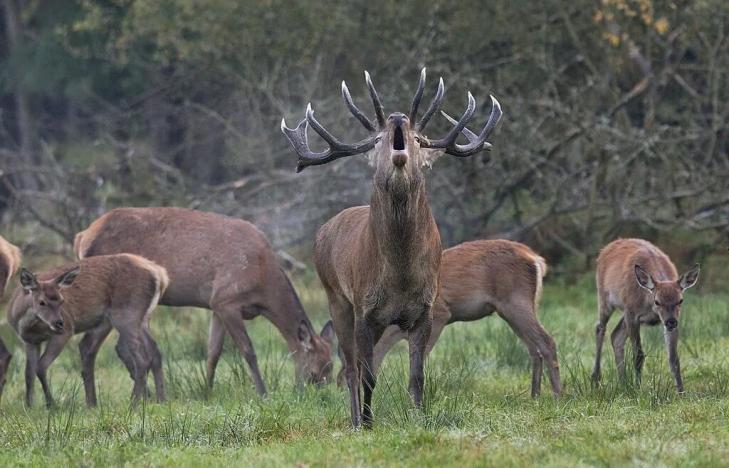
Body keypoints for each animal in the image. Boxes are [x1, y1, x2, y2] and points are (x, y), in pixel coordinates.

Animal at [6, 254, 168, 408]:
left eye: (62, 300)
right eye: (42, 302)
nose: (59, 323)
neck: (25, 323)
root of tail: (160, 275)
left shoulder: (65, 332)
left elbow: (40, 367)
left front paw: (51, 405)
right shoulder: (30, 341)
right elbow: (28, 373)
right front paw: (29, 406)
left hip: (126, 314)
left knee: (142, 358)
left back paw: (133, 404)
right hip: (142, 318)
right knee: (154, 350)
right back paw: (160, 400)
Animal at [72, 207, 334, 394]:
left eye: (331, 367)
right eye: (316, 371)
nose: (321, 396)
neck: (263, 281)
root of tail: (82, 236)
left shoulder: (216, 305)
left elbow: (213, 352)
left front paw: (207, 390)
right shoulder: (227, 299)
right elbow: (248, 350)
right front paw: (262, 392)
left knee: (97, 347)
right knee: (99, 347)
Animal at [282, 68, 500, 428]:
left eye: (418, 139)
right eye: (377, 140)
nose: (398, 117)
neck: (400, 276)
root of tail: (323, 230)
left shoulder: (425, 309)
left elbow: (418, 375)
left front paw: (419, 416)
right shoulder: (364, 309)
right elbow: (368, 374)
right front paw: (368, 422)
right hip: (336, 298)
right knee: (351, 367)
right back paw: (355, 420)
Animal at [334, 239, 556, 396]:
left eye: (342, 377)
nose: (336, 393)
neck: (395, 330)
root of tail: (536, 259)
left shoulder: (440, 314)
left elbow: (421, 359)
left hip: (515, 301)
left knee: (547, 342)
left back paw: (556, 396)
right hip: (511, 309)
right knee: (533, 347)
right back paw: (535, 395)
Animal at [592, 238, 700, 392]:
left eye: (680, 300)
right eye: (657, 301)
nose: (671, 322)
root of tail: (606, 248)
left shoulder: (668, 320)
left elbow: (674, 358)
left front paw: (681, 391)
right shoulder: (632, 314)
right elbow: (638, 355)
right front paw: (637, 388)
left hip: (623, 311)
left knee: (615, 336)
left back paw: (623, 382)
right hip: (605, 298)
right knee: (600, 328)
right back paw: (596, 379)